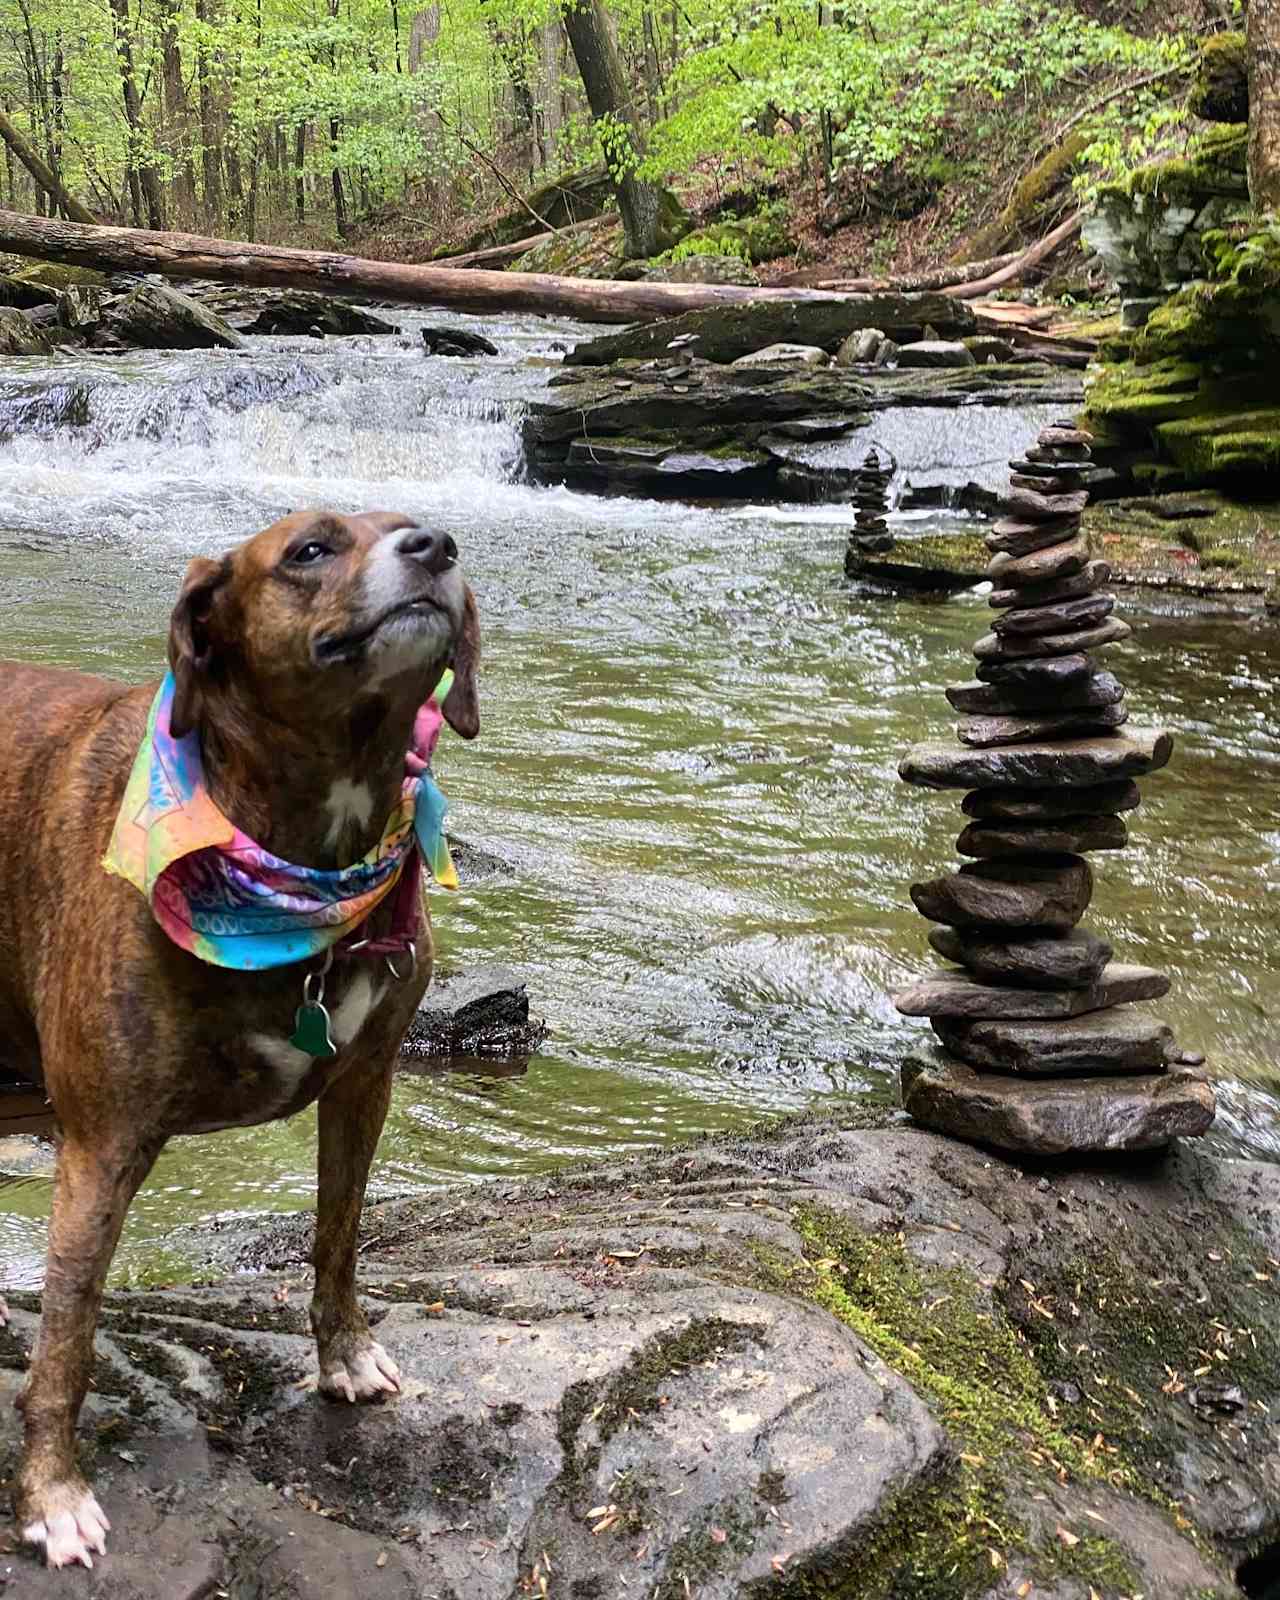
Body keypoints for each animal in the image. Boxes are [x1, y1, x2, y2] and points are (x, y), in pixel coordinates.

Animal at [0, 508, 480, 1561]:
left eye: (410, 527)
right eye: (310, 549)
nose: (436, 544)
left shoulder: (366, 1084)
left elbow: (338, 1235)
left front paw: (345, 1355)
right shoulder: (100, 1145)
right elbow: (67, 1337)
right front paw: (52, 1497)